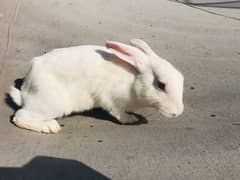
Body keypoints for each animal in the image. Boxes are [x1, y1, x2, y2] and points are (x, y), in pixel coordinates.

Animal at [7, 38, 184, 133]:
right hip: (52, 104)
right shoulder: (113, 100)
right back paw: (50, 127)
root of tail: (25, 92)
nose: (178, 112)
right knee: (20, 116)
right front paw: (131, 119)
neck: (134, 80)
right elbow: (119, 114)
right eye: (161, 84)